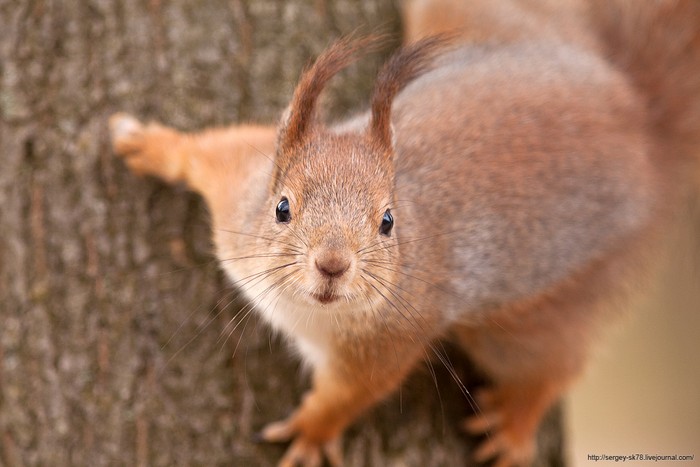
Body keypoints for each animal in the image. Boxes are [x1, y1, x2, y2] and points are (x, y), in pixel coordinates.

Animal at [108, 0, 700, 467]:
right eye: (282, 208)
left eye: (388, 222)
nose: (332, 265)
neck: (309, 311)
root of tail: (640, 128)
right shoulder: (241, 186)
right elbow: (211, 151)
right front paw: (151, 144)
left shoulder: (394, 338)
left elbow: (351, 394)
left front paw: (312, 430)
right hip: (487, 18)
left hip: (541, 313)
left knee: (553, 365)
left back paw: (513, 424)